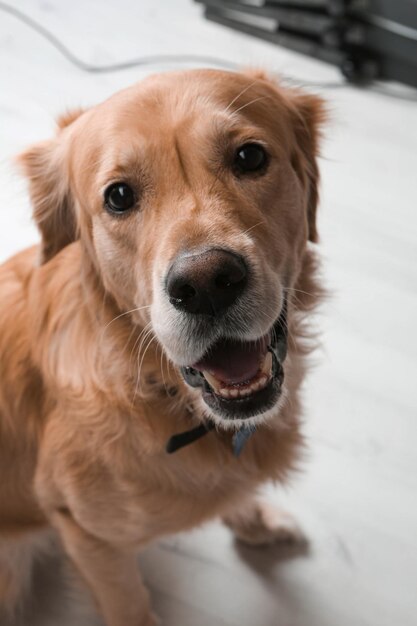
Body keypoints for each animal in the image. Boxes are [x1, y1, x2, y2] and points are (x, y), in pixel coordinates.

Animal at [0, 66, 324, 620]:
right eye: (118, 196)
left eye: (250, 157)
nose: (206, 283)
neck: (164, 394)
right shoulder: (87, 533)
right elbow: (129, 605)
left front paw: (256, 522)